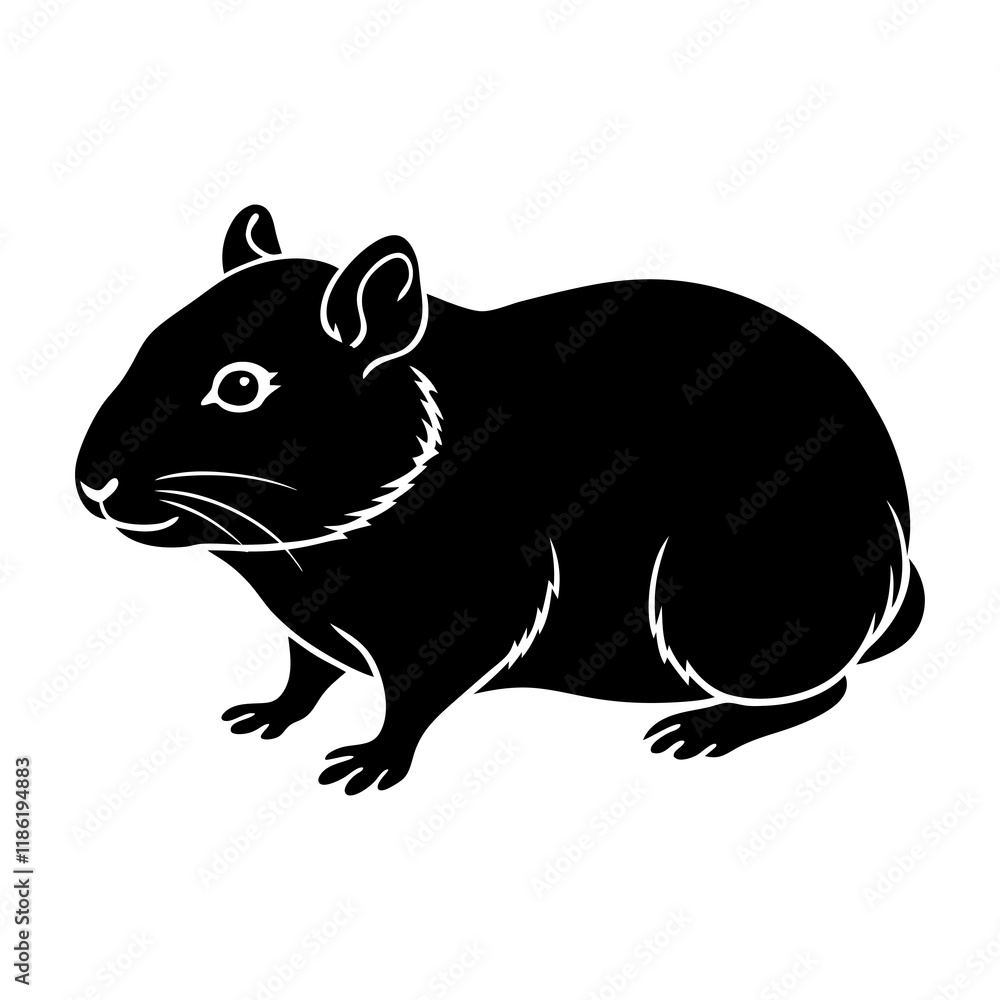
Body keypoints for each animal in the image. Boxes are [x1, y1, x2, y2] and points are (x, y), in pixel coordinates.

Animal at [75, 204, 924, 793]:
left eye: (241, 387)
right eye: (147, 344)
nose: (94, 483)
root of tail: (897, 566)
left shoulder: (469, 616)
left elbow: (413, 700)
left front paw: (366, 767)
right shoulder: (309, 628)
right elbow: (302, 677)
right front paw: (263, 718)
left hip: (717, 607)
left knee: (824, 691)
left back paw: (701, 731)